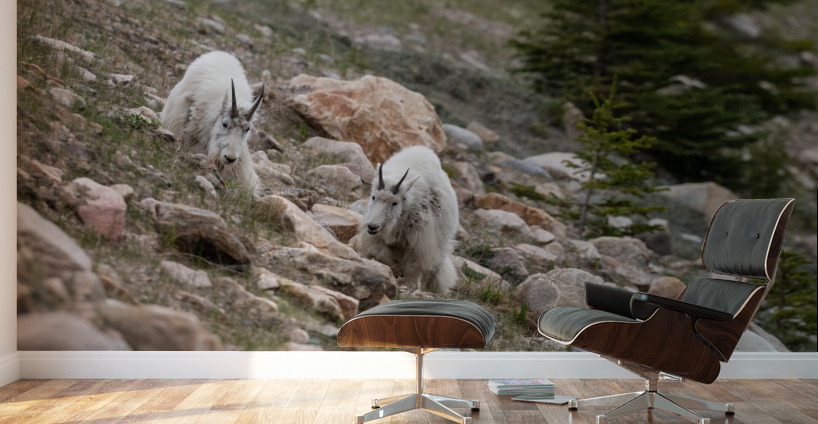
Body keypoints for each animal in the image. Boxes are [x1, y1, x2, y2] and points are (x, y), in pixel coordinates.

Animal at [357, 146, 459, 292]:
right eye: (373, 197)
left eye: (395, 202)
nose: (372, 226)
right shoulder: (377, 238)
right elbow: (381, 254)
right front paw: (395, 271)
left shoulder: (420, 243)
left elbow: (413, 267)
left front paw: (408, 285)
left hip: (441, 246)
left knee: (435, 269)